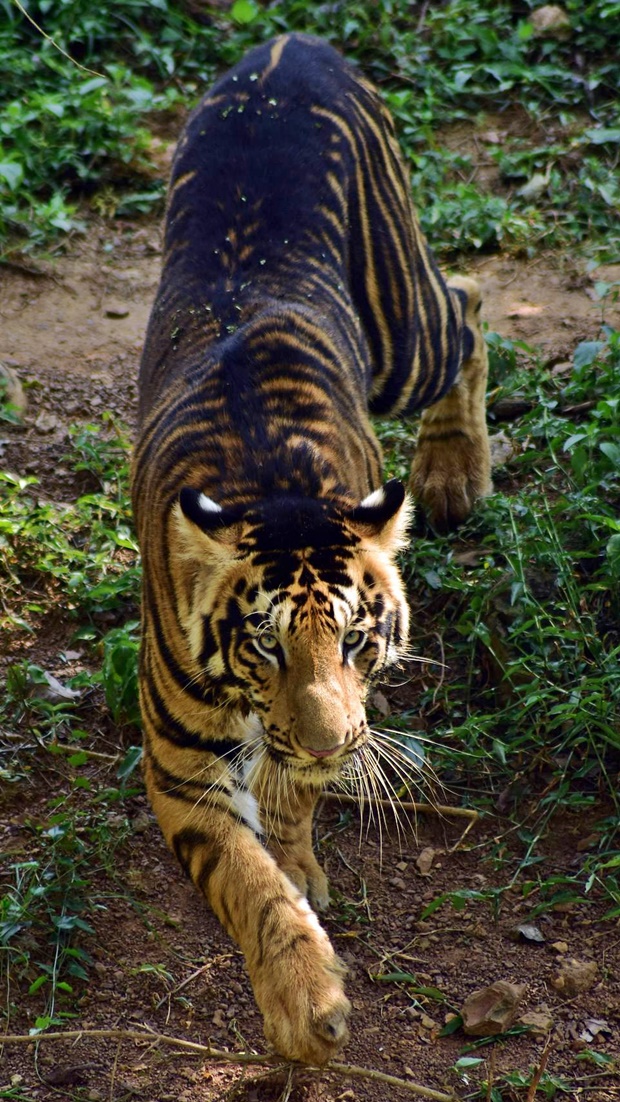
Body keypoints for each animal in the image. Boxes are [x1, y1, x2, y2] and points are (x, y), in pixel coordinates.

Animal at [133, 32, 493, 1066]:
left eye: (359, 638)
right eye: (263, 644)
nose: (339, 741)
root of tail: (287, 43)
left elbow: (291, 795)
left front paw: (300, 852)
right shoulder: (180, 766)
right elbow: (247, 881)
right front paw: (307, 1002)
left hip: (406, 333)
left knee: (469, 303)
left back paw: (453, 469)